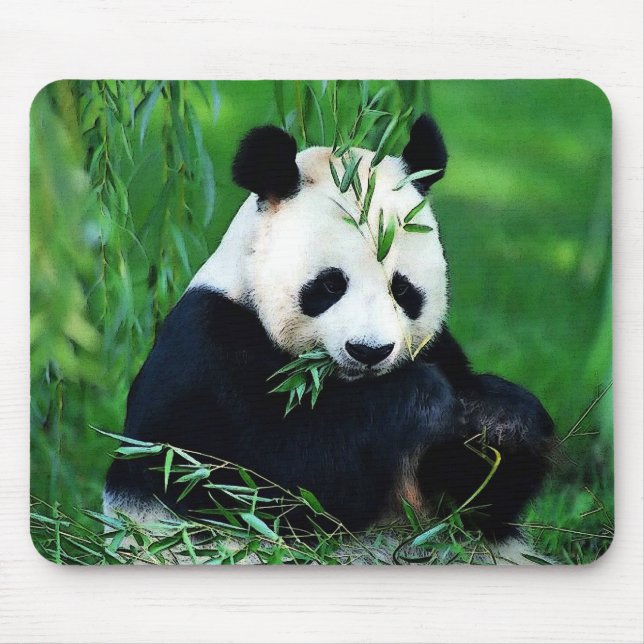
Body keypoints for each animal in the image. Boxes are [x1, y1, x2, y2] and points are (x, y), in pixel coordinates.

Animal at [104, 114, 554, 561]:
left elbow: (474, 502)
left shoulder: (439, 347)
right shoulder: (205, 351)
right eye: (330, 285)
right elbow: (263, 479)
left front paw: (499, 417)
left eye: (402, 289)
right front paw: (419, 396)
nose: (369, 351)